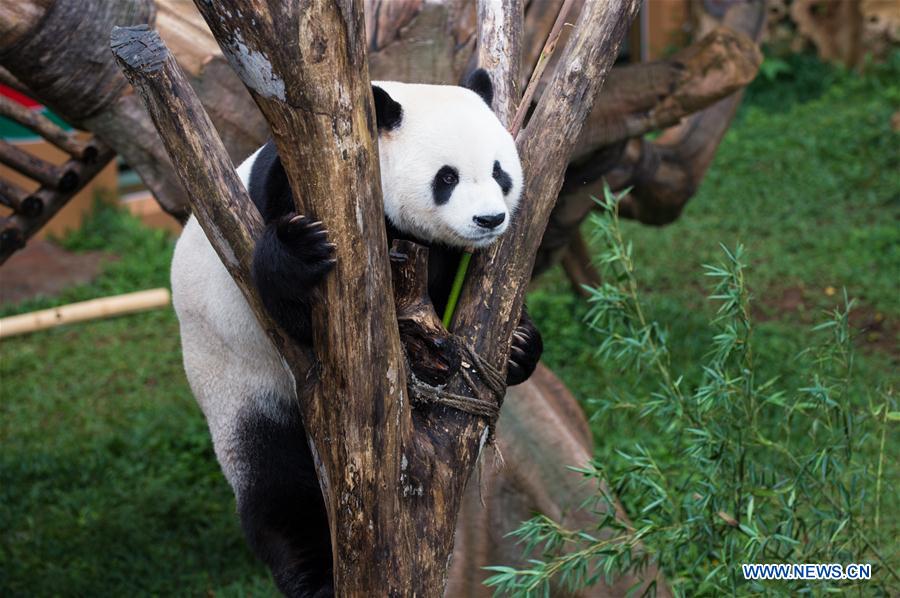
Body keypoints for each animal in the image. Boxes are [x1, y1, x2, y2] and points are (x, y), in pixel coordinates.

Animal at [172, 71, 544, 598]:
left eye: (499, 172)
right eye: (446, 178)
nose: (489, 219)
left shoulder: (446, 257)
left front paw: (518, 347)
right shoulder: (295, 189)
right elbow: (296, 311)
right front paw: (302, 251)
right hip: (238, 385)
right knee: (277, 489)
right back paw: (315, 579)